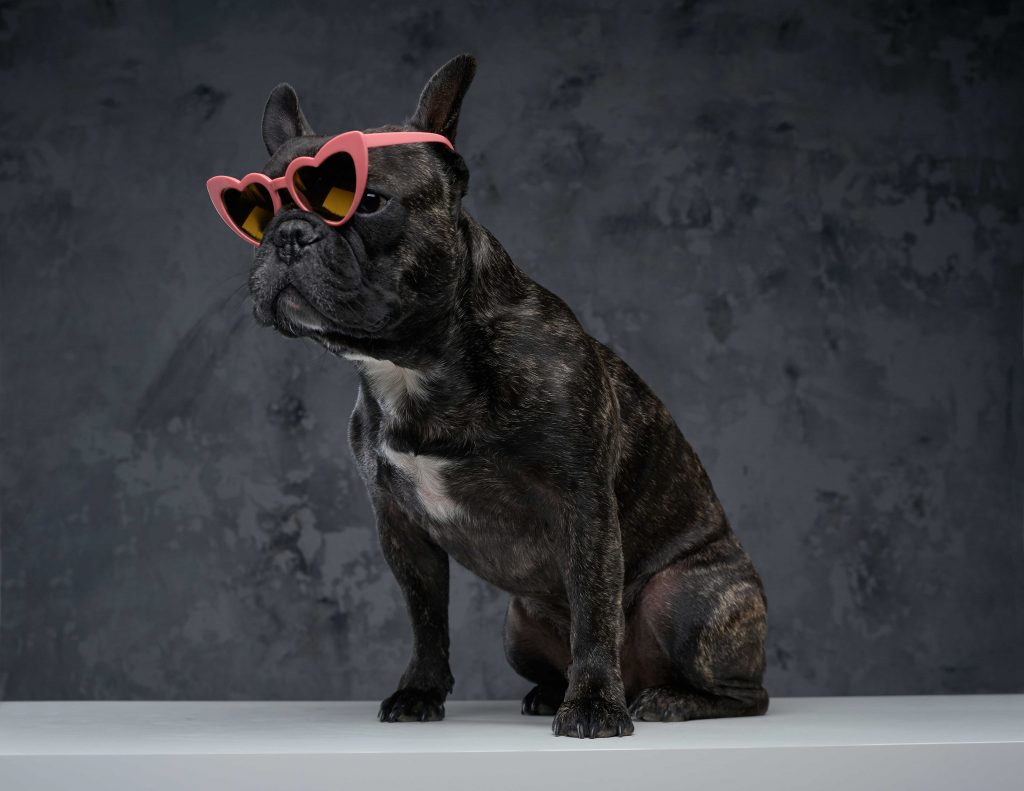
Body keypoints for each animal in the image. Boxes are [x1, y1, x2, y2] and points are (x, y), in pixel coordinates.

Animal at [230, 54, 770, 733]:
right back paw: (549, 694)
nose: (286, 234)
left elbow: (595, 608)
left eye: (367, 201)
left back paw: (662, 699)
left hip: (690, 601)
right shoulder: (400, 527)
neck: (413, 365)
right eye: (256, 214)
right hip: (519, 625)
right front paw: (419, 691)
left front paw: (594, 706)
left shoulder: (582, 504)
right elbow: (426, 620)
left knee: (745, 693)